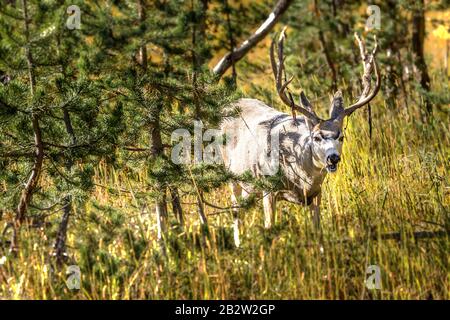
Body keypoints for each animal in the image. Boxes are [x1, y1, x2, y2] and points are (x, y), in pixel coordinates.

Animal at [220, 28, 382, 248]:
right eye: (317, 137)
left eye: (341, 136)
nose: (333, 157)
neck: (301, 178)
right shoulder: (268, 187)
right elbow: (270, 228)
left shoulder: (316, 193)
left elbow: (318, 230)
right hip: (231, 174)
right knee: (235, 210)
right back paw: (239, 245)